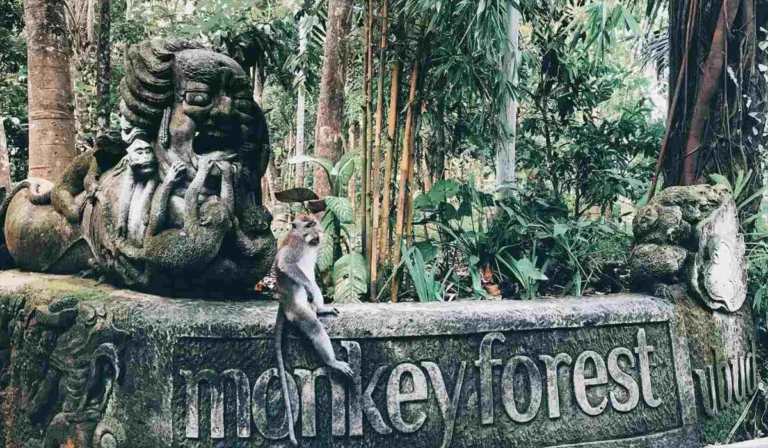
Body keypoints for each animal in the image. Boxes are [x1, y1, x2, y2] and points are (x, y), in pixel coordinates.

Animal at [274, 215, 354, 446]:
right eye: (307, 225)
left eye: (314, 223)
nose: (316, 232)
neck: (305, 241)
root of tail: (284, 305)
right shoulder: (294, 245)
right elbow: (286, 264)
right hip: (298, 311)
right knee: (313, 325)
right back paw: (332, 361)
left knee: (315, 289)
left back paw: (320, 308)